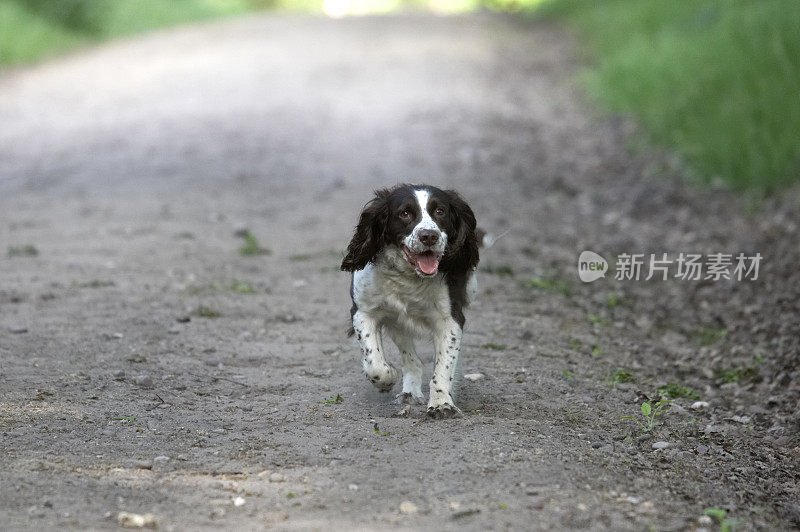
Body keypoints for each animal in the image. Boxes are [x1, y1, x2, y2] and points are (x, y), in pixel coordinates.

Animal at [340, 183, 478, 420]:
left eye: (440, 211)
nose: (429, 236)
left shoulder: (450, 319)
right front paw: (388, 378)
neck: (409, 277)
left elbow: (443, 367)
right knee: (411, 359)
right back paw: (409, 392)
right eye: (405, 213)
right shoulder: (363, 312)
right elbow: (375, 363)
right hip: (397, 323)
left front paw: (442, 404)